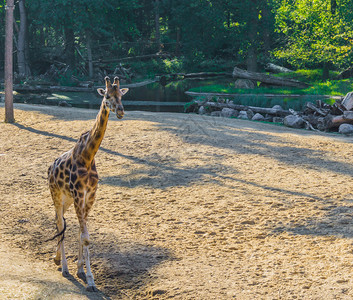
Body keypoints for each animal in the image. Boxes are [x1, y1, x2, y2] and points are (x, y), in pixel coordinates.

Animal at [47, 76, 128, 292]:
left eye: (121, 95)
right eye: (107, 96)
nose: (120, 111)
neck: (88, 155)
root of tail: (50, 167)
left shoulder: (89, 195)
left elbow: (82, 232)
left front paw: (81, 270)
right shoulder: (78, 194)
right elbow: (86, 236)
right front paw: (90, 281)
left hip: (66, 199)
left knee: (61, 221)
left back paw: (57, 259)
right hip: (57, 195)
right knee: (59, 222)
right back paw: (64, 267)